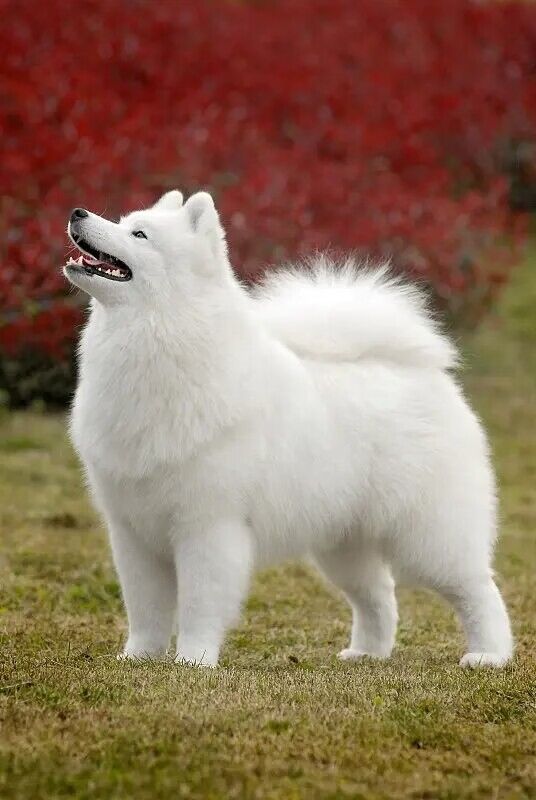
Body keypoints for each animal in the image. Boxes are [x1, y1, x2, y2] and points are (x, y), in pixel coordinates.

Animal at [64, 190, 513, 668]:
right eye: (124, 221)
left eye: (139, 234)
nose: (77, 212)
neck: (159, 342)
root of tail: (425, 372)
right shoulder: (133, 533)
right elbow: (145, 608)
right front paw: (138, 659)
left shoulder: (207, 527)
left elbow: (199, 605)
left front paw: (194, 661)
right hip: (344, 543)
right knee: (379, 595)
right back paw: (366, 653)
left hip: (429, 536)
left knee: (478, 589)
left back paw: (489, 655)